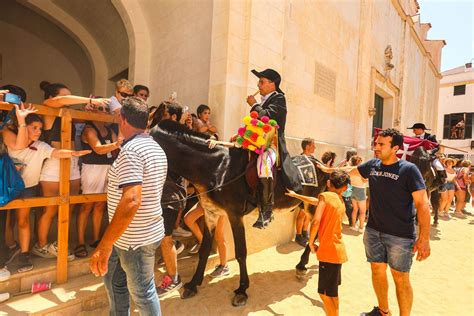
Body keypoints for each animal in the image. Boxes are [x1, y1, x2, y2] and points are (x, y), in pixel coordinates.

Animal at [148, 121, 326, 306]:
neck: (217, 169)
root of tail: (316, 161)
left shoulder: (234, 216)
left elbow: (241, 252)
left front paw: (242, 290)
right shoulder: (211, 214)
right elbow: (204, 249)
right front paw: (193, 284)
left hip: (312, 205)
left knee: (316, 231)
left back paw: (302, 265)